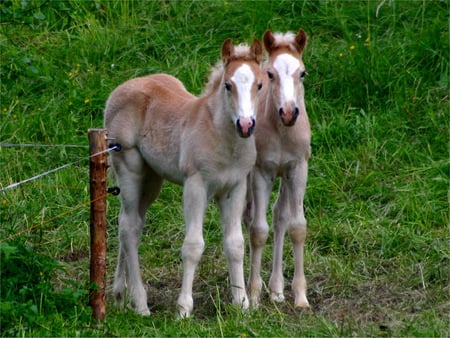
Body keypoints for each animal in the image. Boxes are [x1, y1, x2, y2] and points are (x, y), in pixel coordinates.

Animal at [105, 37, 264, 316]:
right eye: (228, 85)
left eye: (260, 85)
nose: (245, 125)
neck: (222, 138)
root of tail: (121, 89)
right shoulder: (196, 185)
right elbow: (193, 246)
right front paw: (183, 309)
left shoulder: (235, 187)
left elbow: (235, 244)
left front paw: (242, 304)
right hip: (129, 168)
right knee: (129, 228)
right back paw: (140, 304)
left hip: (152, 179)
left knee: (129, 222)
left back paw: (119, 295)